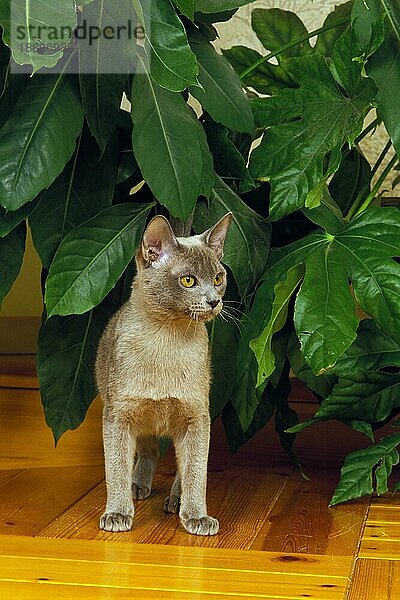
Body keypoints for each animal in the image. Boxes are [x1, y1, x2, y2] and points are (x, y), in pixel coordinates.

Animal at [95, 211, 233, 536]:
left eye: (218, 278)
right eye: (188, 280)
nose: (214, 301)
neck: (168, 339)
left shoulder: (197, 417)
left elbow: (196, 471)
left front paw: (196, 517)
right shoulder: (117, 416)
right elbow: (116, 470)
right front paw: (117, 514)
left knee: (182, 464)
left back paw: (176, 502)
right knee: (149, 451)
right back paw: (137, 487)